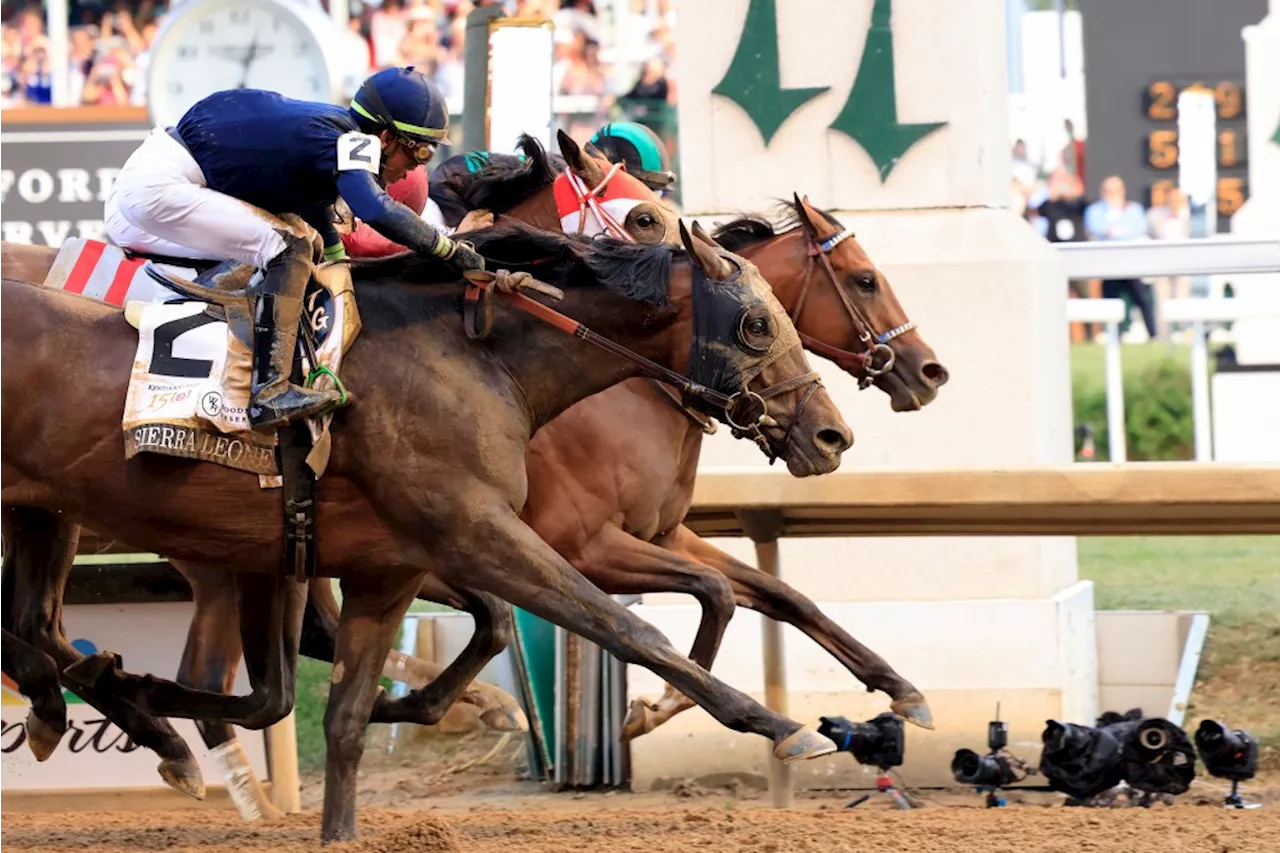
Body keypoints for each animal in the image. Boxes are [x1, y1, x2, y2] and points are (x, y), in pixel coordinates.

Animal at [2, 216, 860, 840]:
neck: (477, 360)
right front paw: (784, 725)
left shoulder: (387, 567)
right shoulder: (487, 534)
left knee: (40, 623)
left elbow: (343, 715)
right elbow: (627, 627)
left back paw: (105, 705)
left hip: (50, 515)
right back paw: (102, 707)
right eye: (756, 324)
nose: (831, 435)